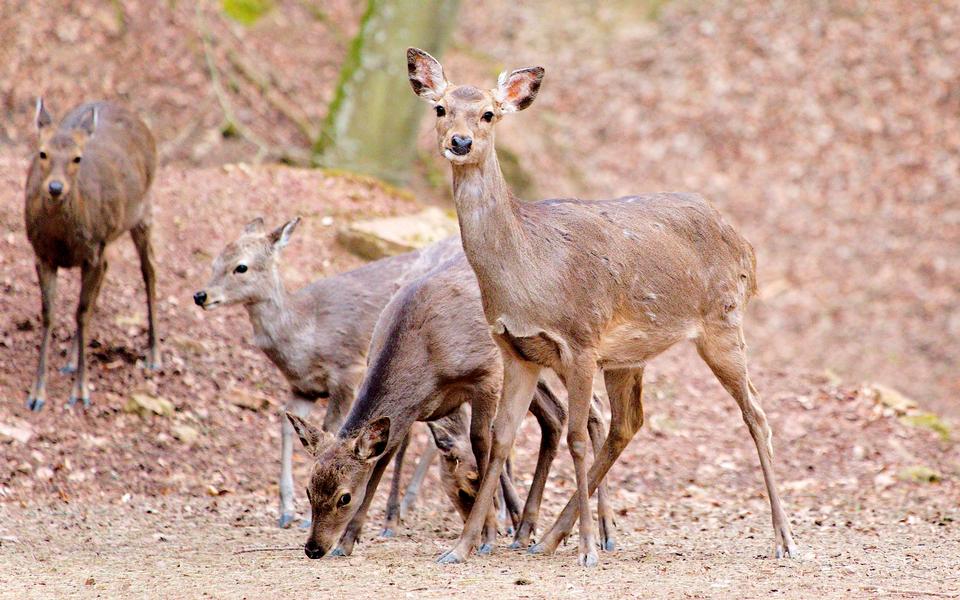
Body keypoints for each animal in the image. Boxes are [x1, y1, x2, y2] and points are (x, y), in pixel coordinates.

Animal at [23, 99, 159, 412]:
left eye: (77, 158)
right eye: (42, 152)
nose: (56, 188)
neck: (62, 239)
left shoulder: (92, 251)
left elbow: (82, 314)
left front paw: (81, 391)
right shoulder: (42, 255)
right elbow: (49, 314)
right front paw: (37, 394)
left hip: (142, 211)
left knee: (149, 272)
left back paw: (154, 354)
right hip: (107, 242)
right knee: (108, 274)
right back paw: (71, 359)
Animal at [193, 218, 460, 528]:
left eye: (241, 267)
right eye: (214, 261)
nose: (201, 295)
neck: (306, 334)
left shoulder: (347, 372)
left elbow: (333, 428)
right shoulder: (302, 388)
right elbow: (288, 426)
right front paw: (286, 511)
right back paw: (408, 504)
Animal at [286, 251, 616, 560]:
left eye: (344, 497)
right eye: (309, 490)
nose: (313, 548)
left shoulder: (487, 375)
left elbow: (482, 443)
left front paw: (487, 536)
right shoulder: (407, 414)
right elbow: (383, 459)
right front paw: (347, 542)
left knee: (595, 410)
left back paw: (605, 533)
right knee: (557, 415)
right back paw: (526, 529)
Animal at [408, 48, 800, 568]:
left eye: (489, 113)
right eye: (440, 108)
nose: (460, 141)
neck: (529, 273)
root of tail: (748, 250)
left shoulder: (580, 339)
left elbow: (574, 436)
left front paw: (589, 549)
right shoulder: (515, 350)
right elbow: (501, 439)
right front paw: (461, 547)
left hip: (722, 320)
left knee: (755, 413)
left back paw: (785, 539)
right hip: (628, 356)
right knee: (628, 423)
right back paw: (551, 536)